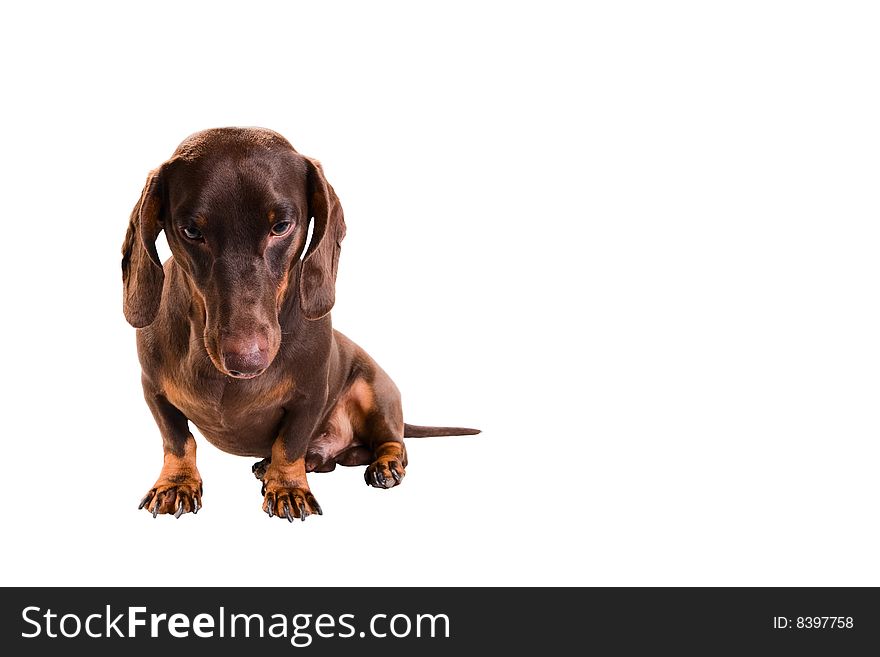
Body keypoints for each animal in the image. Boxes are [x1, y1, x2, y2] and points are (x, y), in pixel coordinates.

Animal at [121, 125, 478, 520]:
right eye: (191, 232)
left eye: (281, 226)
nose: (246, 362)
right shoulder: (153, 389)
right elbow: (178, 440)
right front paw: (176, 483)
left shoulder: (310, 395)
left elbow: (290, 444)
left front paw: (288, 487)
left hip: (378, 393)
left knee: (393, 442)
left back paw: (383, 466)